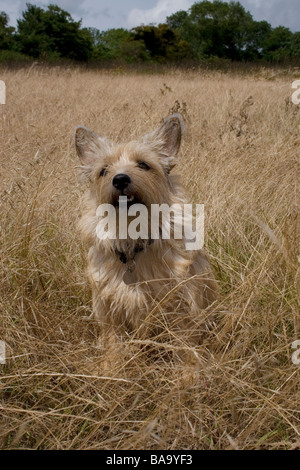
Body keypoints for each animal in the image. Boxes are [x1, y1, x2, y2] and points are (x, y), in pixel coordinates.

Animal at [74, 113, 217, 342]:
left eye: (143, 164)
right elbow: (114, 347)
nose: (120, 179)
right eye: (103, 171)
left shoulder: (182, 312)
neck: (131, 237)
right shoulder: (110, 317)